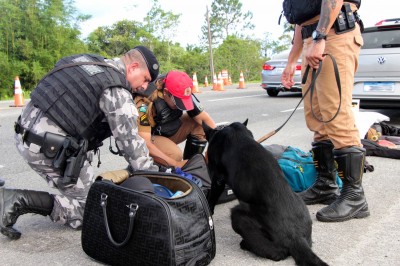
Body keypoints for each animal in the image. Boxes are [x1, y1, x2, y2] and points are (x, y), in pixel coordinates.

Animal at [203, 121, 328, 266]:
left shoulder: (217, 179)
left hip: (238, 214)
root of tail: (296, 237)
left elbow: (211, 198)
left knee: (277, 253)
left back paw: (245, 244)